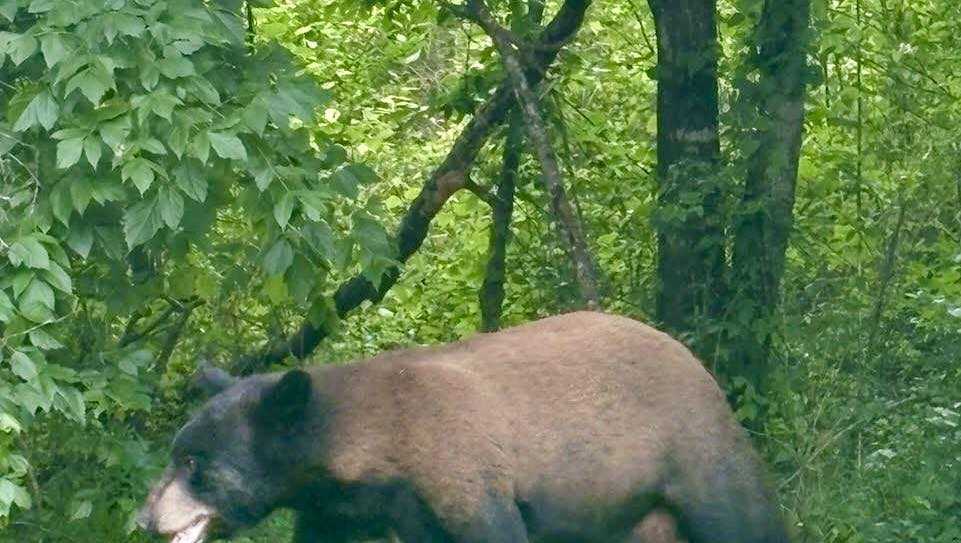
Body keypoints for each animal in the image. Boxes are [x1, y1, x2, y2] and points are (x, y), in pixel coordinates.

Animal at [138, 311, 789, 543]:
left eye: (194, 462)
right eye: (177, 451)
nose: (144, 519)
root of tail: (694, 360)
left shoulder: (461, 470)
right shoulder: (344, 507)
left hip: (695, 454)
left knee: (743, 520)